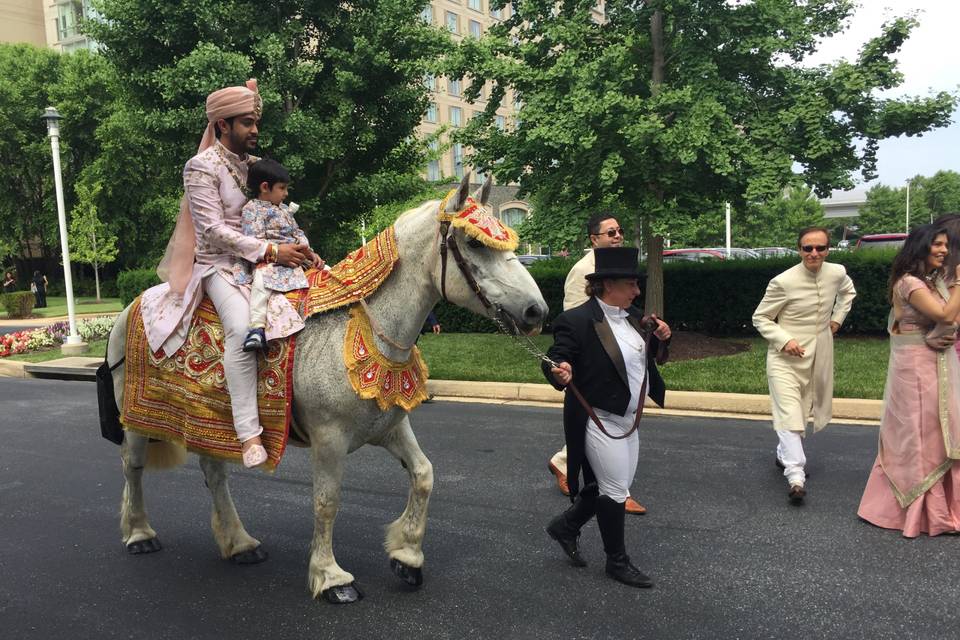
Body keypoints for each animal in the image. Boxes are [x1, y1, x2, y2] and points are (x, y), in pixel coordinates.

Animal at [106, 172, 548, 604]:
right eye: (474, 242)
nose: (536, 311)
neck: (365, 330)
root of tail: (132, 306)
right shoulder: (328, 438)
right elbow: (327, 501)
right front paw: (332, 577)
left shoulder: (390, 427)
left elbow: (424, 475)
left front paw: (407, 556)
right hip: (136, 420)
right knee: (133, 466)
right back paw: (139, 533)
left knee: (214, 473)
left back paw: (240, 543)